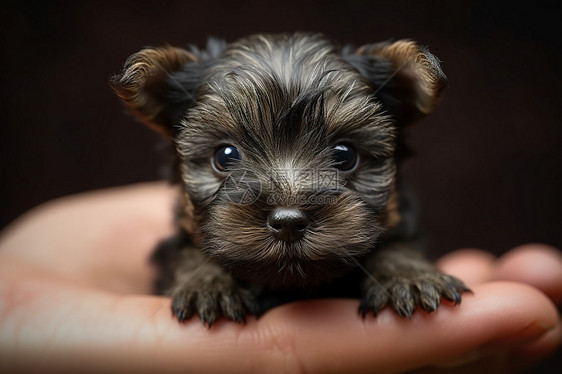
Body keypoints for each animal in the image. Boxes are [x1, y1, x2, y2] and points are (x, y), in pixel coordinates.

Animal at [109, 32, 468, 324]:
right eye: (226, 156)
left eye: (345, 155)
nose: (288, 222)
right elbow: (186, 252)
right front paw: (206, 285)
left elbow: (396, 243)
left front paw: (410, 276)